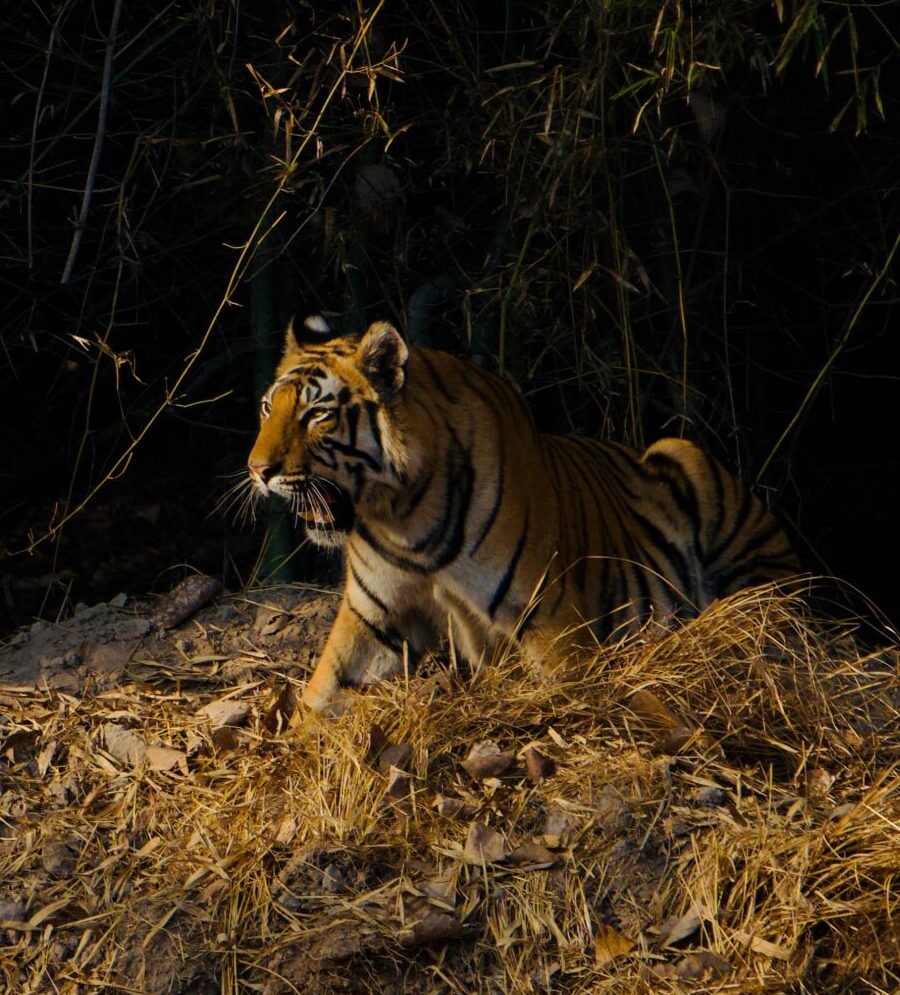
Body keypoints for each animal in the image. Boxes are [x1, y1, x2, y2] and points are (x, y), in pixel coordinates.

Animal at [248, 315, 799, 712]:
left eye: (317, 414)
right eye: (267, 408)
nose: (258, 470)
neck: (400, 515)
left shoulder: (551, 620)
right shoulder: (372, 617)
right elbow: (317, 697)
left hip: (689, 463)